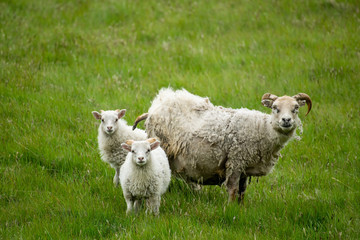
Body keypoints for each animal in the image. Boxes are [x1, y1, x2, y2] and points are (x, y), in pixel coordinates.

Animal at [133, 87, 312, 202]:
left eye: (296, 108)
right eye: (275, 108)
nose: (286, 120)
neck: (262, 129)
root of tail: (153, 108)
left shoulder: (244, 167)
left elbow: (242, 191)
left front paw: (241, 208)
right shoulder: (235, 161)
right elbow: (233, 189)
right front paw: (230, 208)